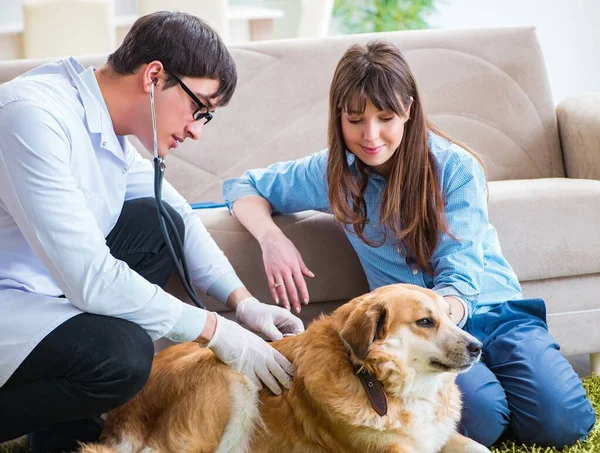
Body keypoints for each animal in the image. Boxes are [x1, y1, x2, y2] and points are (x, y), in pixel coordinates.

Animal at [81, 282, 492, 452]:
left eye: (450, 316)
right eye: (425, 322)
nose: (478, 348)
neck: (375, 380)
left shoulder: (436, 439)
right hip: (230, 379)